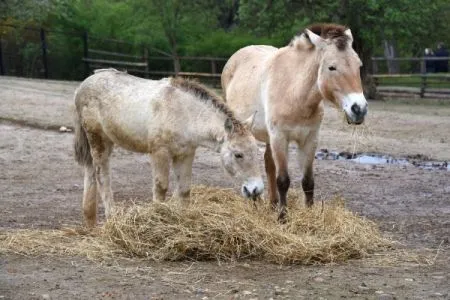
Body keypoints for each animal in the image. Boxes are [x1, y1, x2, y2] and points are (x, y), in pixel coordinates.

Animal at [74, 68, 264, 227]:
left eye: (257, 152)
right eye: (238, 154)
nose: (256, 190)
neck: (185, 114)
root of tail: (82, 86)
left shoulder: (186, 154)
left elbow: (185, 190)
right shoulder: (160, 153)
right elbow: (161, 188)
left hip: (104, 142)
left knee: (90, 173)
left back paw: (90, 223)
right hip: (98, 140)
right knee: (102, 177)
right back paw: (111, 218)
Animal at [221, 24, 366, 220]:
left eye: (359, 65)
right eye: (332, 67)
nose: (359, 109)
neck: (295, 93)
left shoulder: (310, 140)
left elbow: (308, 182)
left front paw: (310, 215)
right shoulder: (280, 138)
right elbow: (283, 180)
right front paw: (282, 217)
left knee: (269, 164)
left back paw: (272, 203)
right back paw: (255, 202)